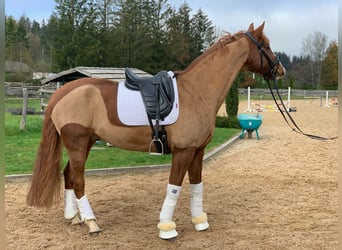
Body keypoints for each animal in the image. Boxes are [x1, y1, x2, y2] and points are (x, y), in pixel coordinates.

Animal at [26, 22, 284, 239]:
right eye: (266, 46)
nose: (280, 70)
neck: (196, 92)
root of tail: (63, 92)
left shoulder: (198, 150)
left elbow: (196, 186)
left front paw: (200, 221)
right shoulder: (183, 152)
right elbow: (174, 188)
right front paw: (167, 228)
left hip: (85, 143)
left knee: (69, 175)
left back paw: (74, 218)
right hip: (78, 145)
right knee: (78, 180)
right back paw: (91, 223)